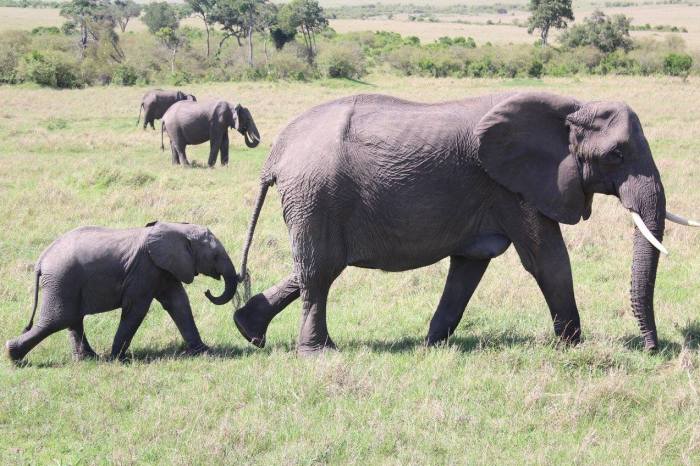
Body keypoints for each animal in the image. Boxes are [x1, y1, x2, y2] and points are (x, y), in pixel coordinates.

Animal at [5, 221, 238, 363]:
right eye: (215, 256)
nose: (208, 291)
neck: (178, 228)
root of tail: (41, 260)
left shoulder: (163, 269)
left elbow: (179, 303)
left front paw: (205, 352)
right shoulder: (145, 268)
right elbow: (136, 309)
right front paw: (117, 359)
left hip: (64, 284)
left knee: (71, 319)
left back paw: (88, 359)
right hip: (62, 280)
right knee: (57, 320)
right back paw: (13, 355)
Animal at [232, 91, 699, 356]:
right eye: (616, 155)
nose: (652, 349)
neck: (572, 108)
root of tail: (276, 153)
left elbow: (469, 267)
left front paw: (432, 346)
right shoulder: (511, 186)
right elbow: (546, 258)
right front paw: (572, 348)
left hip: (312, 199)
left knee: (314, 267)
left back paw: (248, 330)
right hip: (317, 194)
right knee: (319, 271)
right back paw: (318, 354)